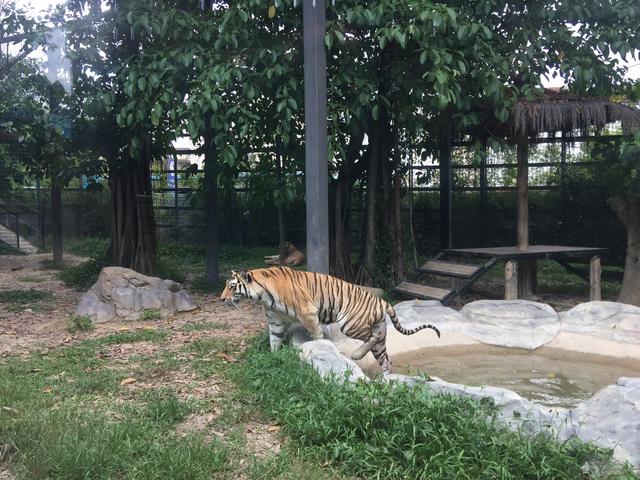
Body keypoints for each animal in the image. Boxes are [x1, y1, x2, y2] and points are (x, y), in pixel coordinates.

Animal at [221, 266, 440, 376]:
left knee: (372, 337)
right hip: (378, 335)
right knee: (385, 357)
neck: (262, 295)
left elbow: (317, 334)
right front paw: (273, 359)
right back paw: (387, 379)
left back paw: (357, 355)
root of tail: (382, 300)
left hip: (350, 323)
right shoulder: (275, 321)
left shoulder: (308, 312)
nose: (222, 299)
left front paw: (321, 347)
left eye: (232, 287)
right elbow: (274, 341)